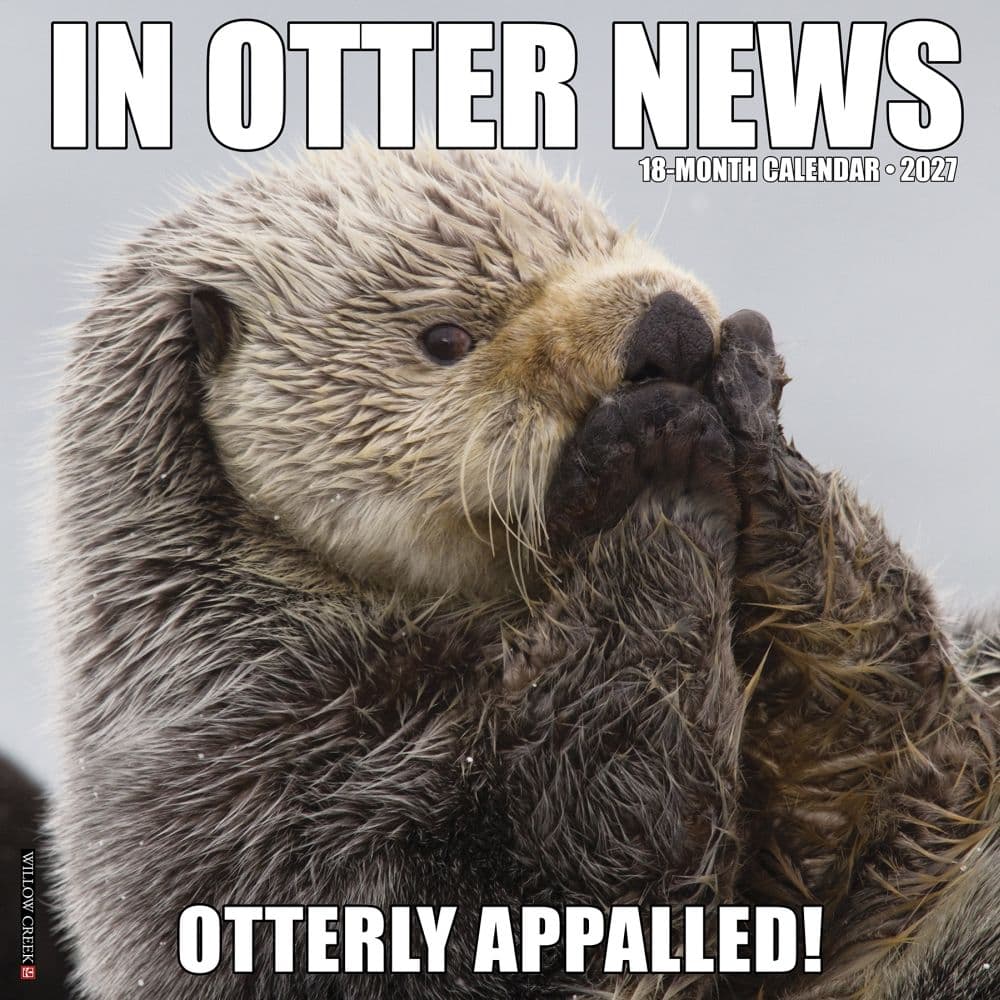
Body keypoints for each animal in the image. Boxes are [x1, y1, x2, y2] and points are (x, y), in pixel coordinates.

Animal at [44, 144, 997, 999]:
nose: (670, 327)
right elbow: (587, 879)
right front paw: (652, 452)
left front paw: (749, 401)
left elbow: (897, 802)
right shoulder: (249, 795)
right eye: (444, 337)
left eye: (600, 237)